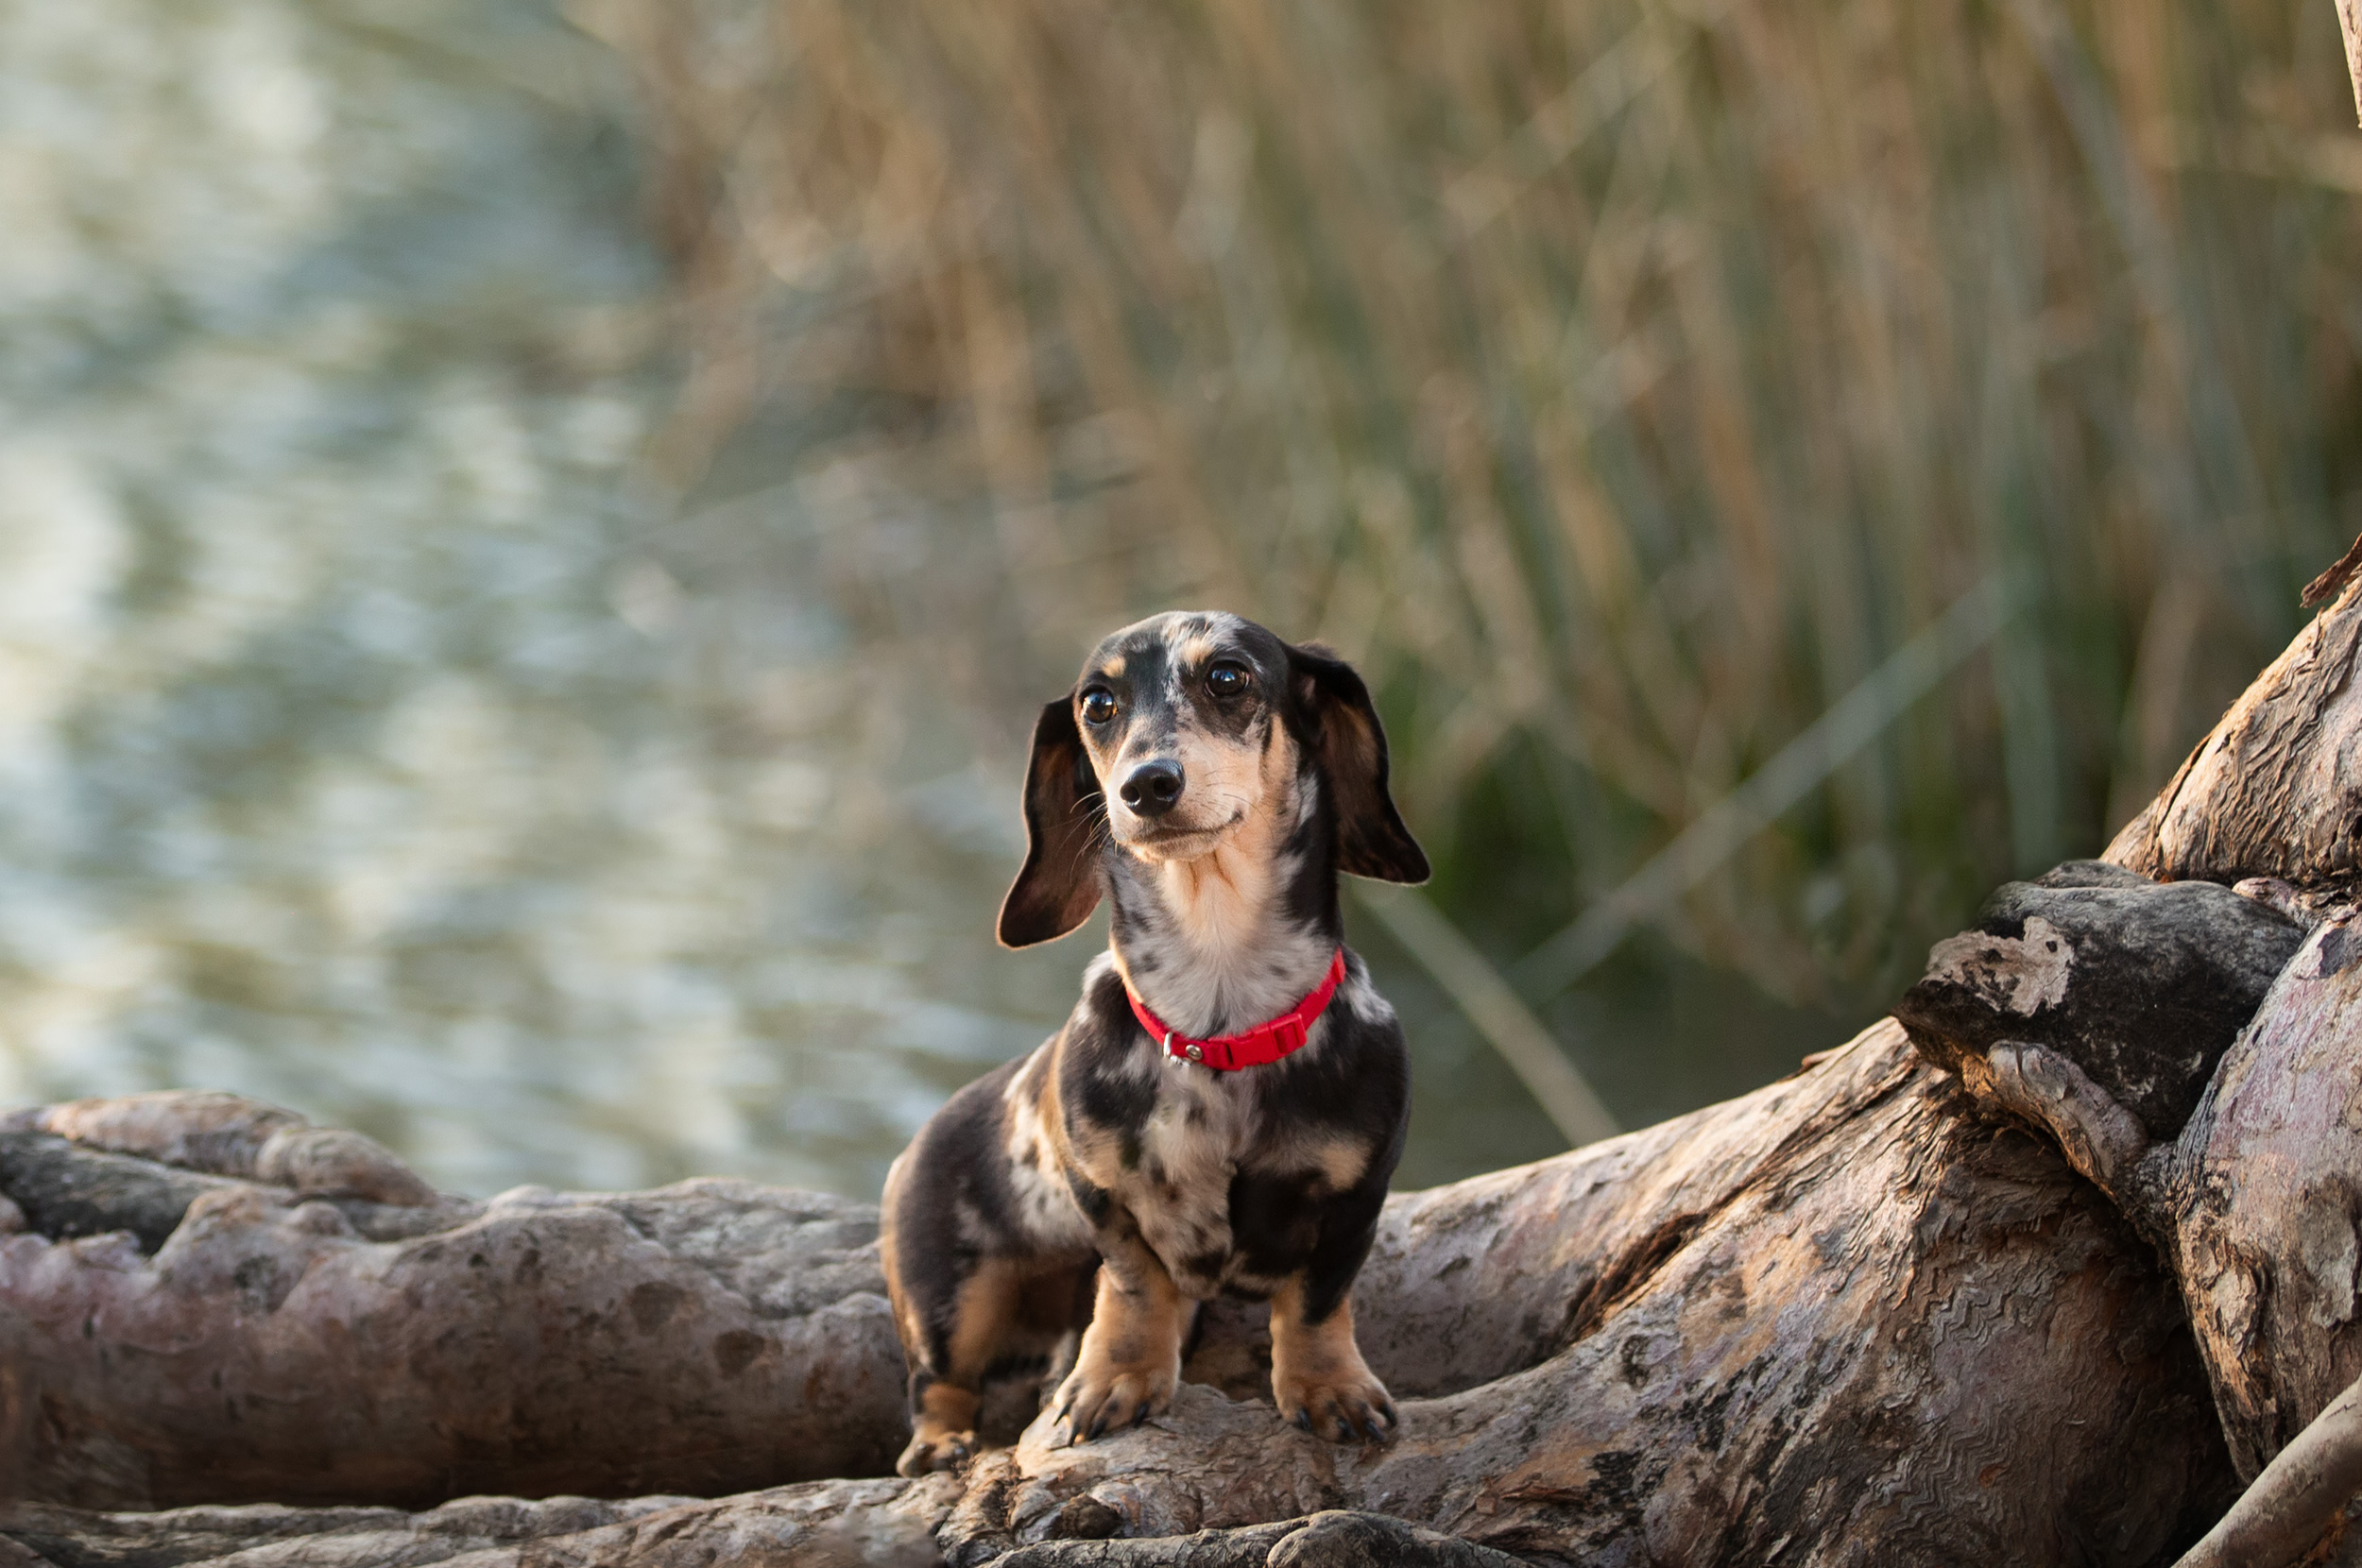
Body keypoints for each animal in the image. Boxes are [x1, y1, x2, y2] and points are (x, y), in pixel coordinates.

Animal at [874, 605, 1408, 1474]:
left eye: (1228, 675)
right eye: (1098, 704)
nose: (1146, 786)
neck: (1219, 1025)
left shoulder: (1355, 1200)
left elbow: (1316, 1303)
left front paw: (1331, 1388)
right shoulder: (1102, 1194)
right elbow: (1134, 1283)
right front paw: (1117, 1379)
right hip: (947, 1298)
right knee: (938, 1384)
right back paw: (943, 1443)